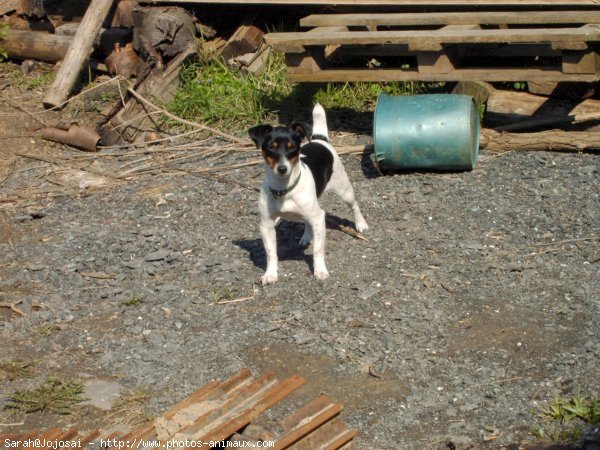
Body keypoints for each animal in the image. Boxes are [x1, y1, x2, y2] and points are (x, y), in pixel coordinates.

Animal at [247, 103, 368, 284]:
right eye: (271, 148)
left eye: (293, 149)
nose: (282, 168)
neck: (284, 189)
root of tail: (319, 139)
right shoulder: (266, 224)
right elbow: (270, 253)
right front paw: (270, 274)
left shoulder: (318, 218)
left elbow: (318, 250)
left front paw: (320, 271)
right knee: (307, 221)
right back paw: (306, 236)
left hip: (344, 190)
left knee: (354, 205)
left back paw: (361, 224)